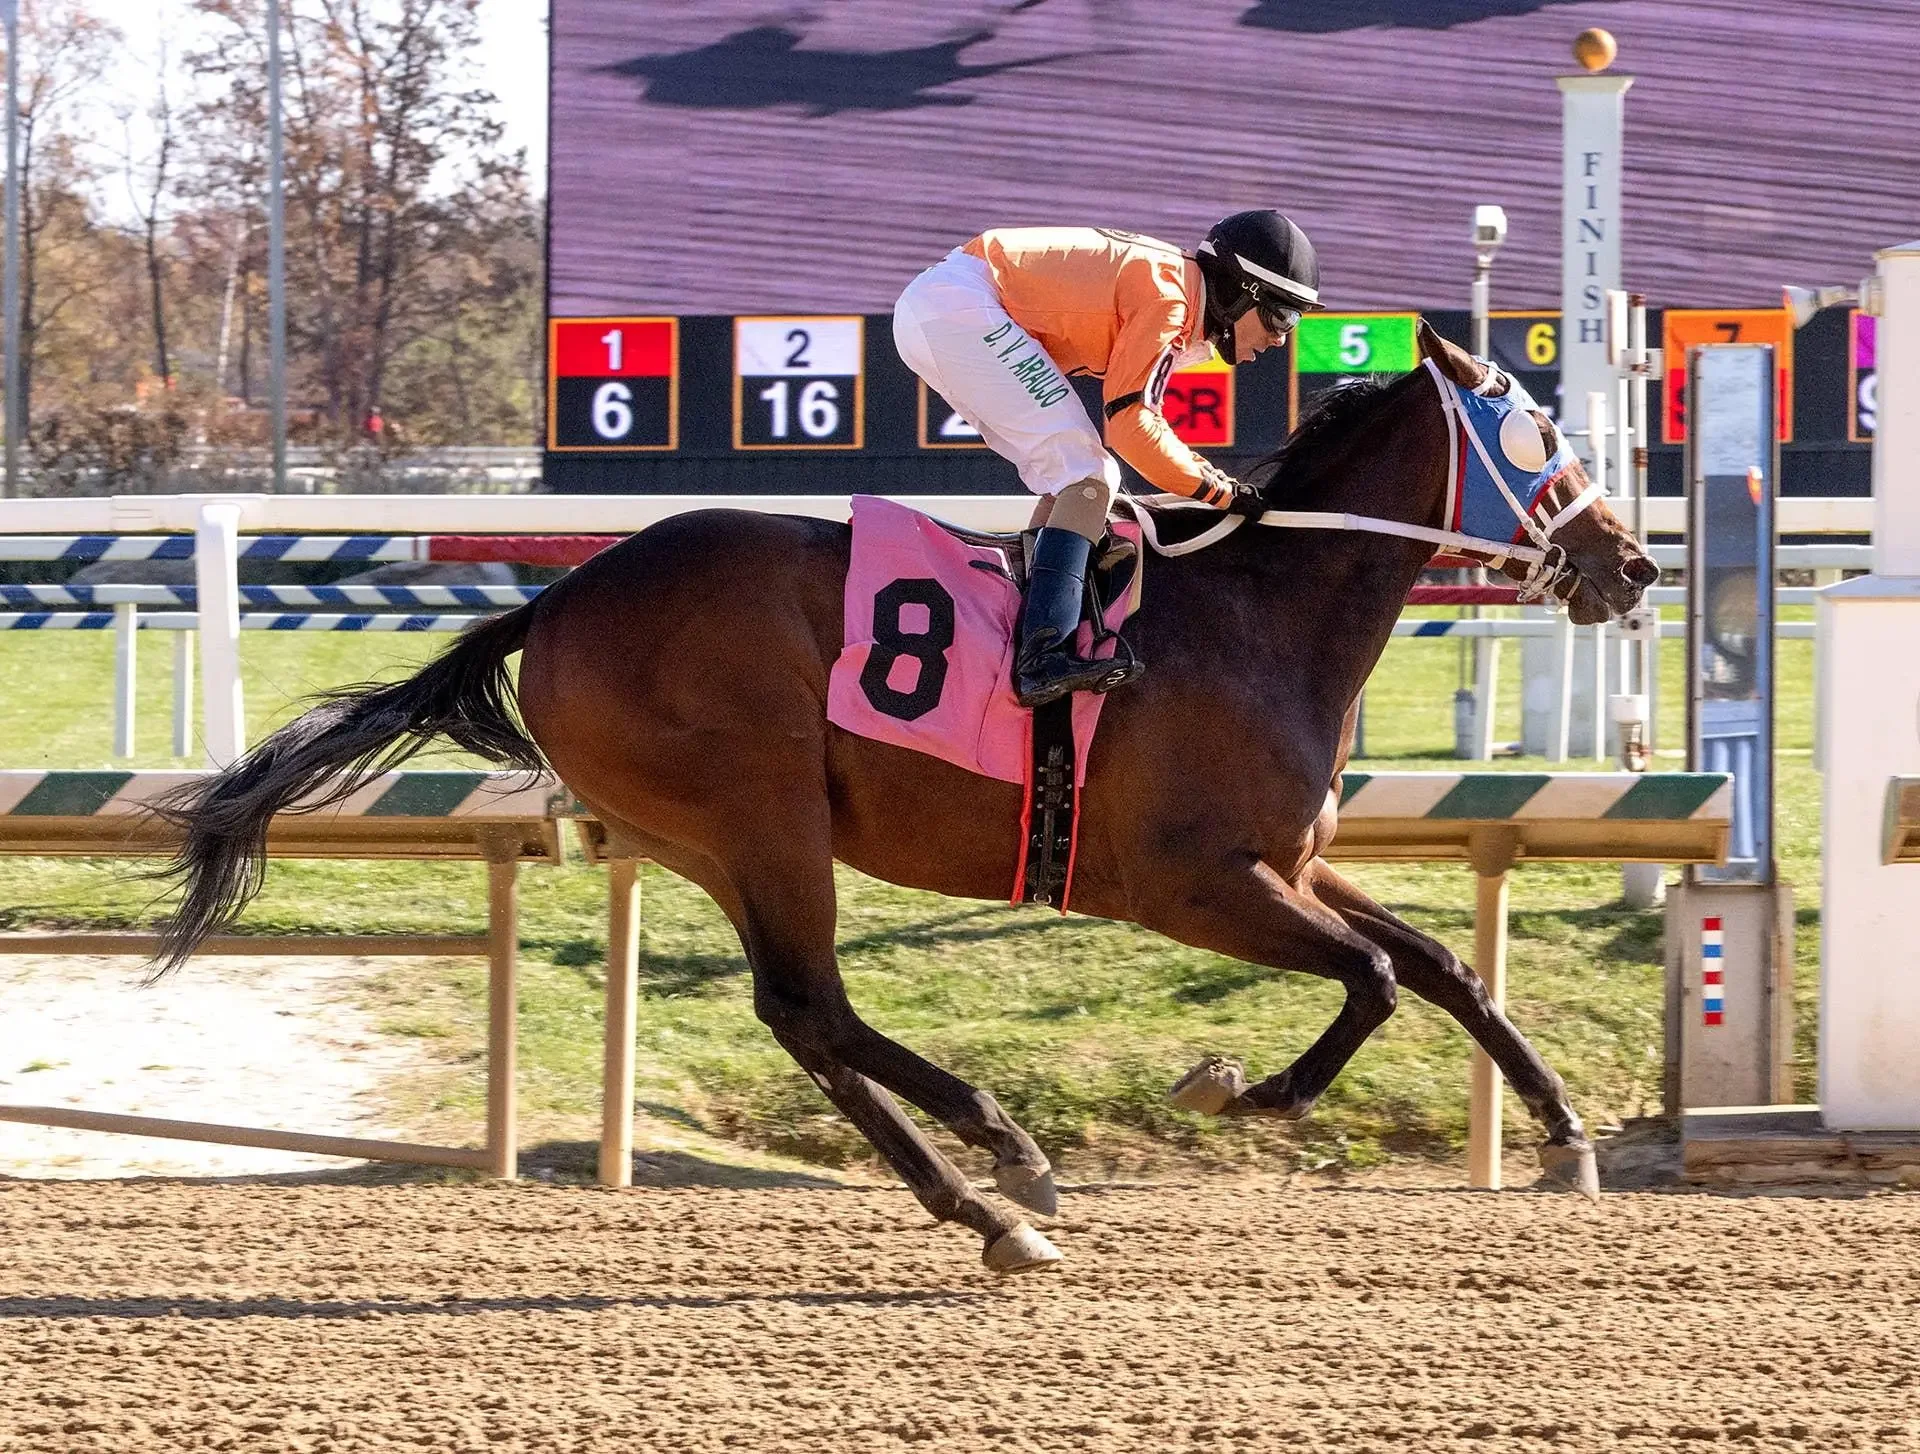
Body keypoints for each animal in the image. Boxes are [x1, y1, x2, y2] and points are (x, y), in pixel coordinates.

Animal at [153, 322, 1657, 1273]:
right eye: (1535, 430)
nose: (1633, 562)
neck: (1255, 611)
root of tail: (557, 598)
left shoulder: (1285, 861)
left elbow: (1443, 965)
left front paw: (1567, 1136)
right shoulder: (1190, 881)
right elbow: (1375, 981)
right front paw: (1243, 1086)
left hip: (720, 841)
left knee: (805, 1013)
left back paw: (992, 1186)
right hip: (763, 817)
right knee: (811, 1006)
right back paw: (1005, 1174)